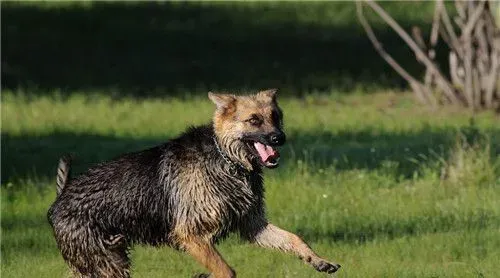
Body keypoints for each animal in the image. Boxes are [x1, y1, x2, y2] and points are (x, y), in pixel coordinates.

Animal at [47, 90, 340, 276]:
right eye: (254, 120)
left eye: (276, 117)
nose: (280, 138)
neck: (226, 159)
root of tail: (61, 197)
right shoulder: (191, 235)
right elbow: (226, 271)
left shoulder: (252, 225)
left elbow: (294, 238)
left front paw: (318, 261)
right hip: (106, 264)